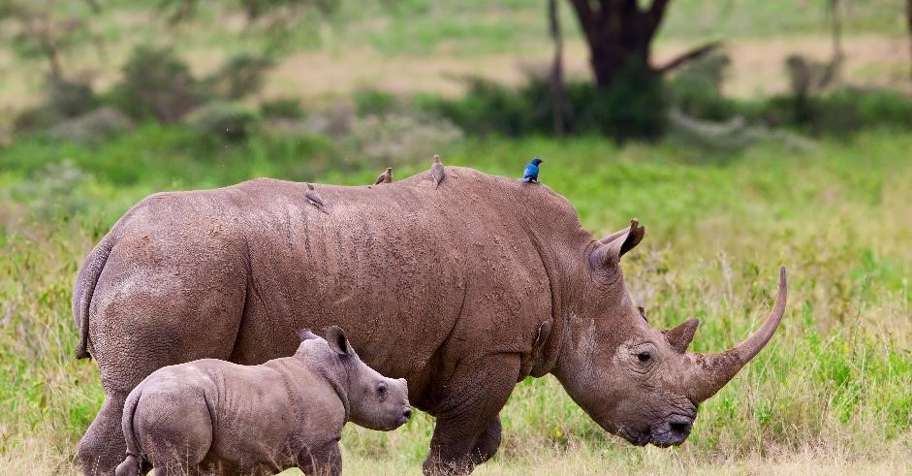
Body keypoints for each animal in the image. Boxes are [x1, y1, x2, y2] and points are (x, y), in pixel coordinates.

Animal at [113, 326, 410, 476]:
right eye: (381, 389)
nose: (408, 412)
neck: (338, 373)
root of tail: (138, 392)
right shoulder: (321, 442)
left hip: (160, 405)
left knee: (135, 463)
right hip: (175, 405)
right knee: (174, 466)